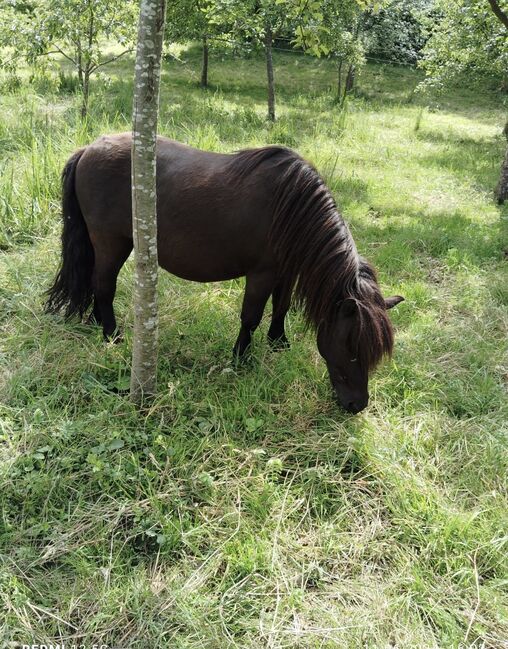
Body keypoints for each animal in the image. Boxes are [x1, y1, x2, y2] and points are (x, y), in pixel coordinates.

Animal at [47, 134, 404, 412]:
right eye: (352, 349)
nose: (356, 406)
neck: (290, 207)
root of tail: (88, 149)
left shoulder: (285, 272)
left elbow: (281, 306)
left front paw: (279, 342)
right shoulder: (262, 274)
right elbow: (251, 317)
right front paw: (240, 359)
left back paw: (97, 324)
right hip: (112, 243)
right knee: (104, 285)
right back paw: (112, 336)